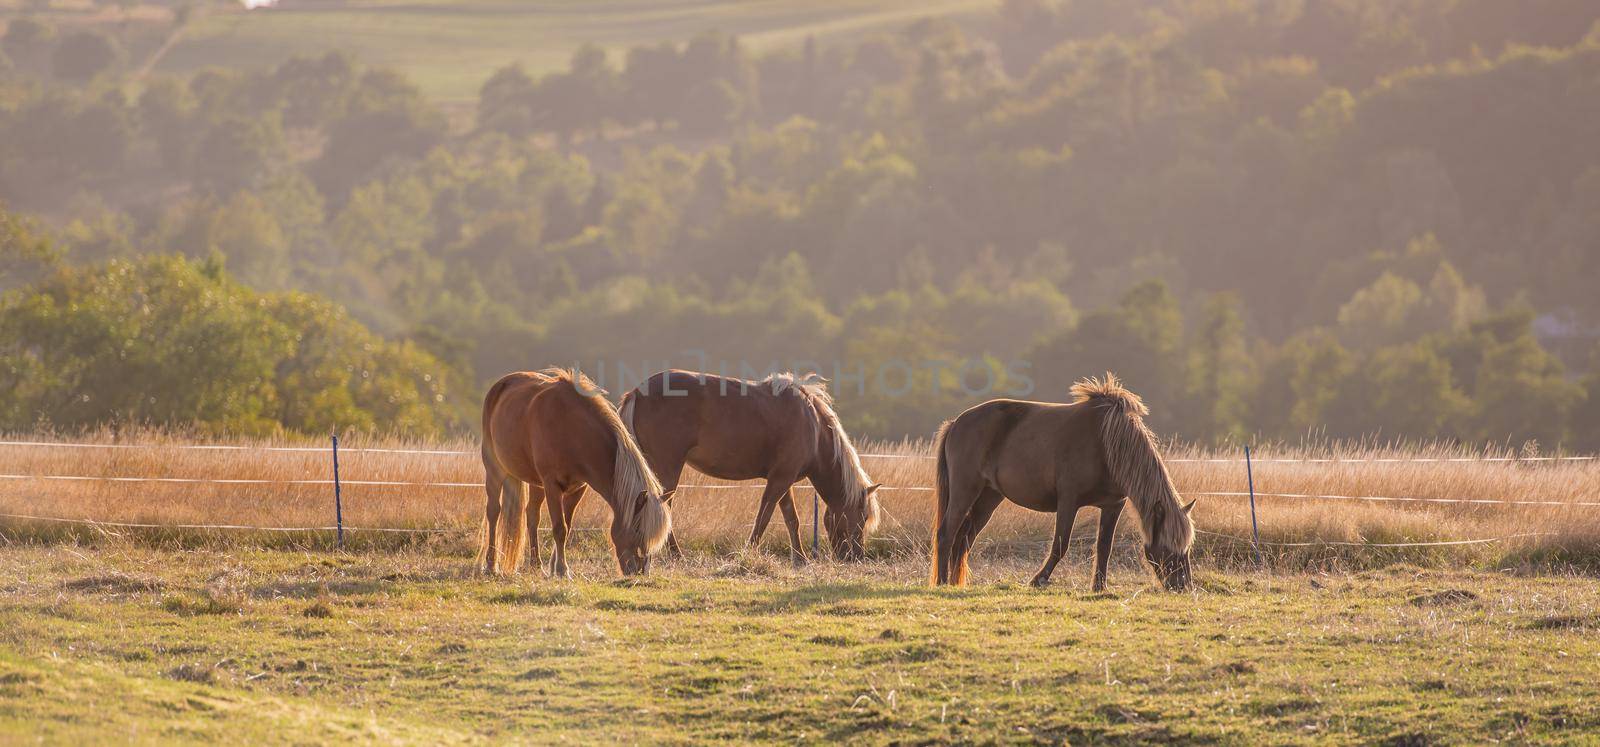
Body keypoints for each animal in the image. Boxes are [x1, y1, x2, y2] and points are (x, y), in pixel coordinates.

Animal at [476, 369, 672, 579]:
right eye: (637, 530)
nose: (638, 572)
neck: (571, 429)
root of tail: (502, 384)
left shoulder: (577, 489)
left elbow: (567, 526)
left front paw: (555, 567)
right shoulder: (552, 485)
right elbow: (559, 528)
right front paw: (562, 570)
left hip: (535, 483)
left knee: (532, 515)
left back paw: (536, 564)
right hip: (494, 469)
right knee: (493, 512)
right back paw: (491, 565)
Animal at [617, 369, 883, 563]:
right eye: (863, 516)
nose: (856, 557)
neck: (813, 426)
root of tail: (637, 392)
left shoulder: (783, 480)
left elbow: (791, 519)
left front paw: (800, 559)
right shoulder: (780, 480)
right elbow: (763, 518)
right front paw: (748, 553)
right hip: (667, 467)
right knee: (664, 507)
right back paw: (676, 554)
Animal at [934, 377, 1196, 595]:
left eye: (1186, 548)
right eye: (1168, 547)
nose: (1183, 586)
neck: (1106, 445)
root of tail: (955, 423)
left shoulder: (1113, 506)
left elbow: (1104, 547)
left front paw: (1099, 587)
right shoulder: (1068, 500)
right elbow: (1061, 544)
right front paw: (1038, 580)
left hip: (988, 498)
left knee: (964, 538)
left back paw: (955, 582)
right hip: (965, 490)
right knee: (947, 533)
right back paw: (942, 582)